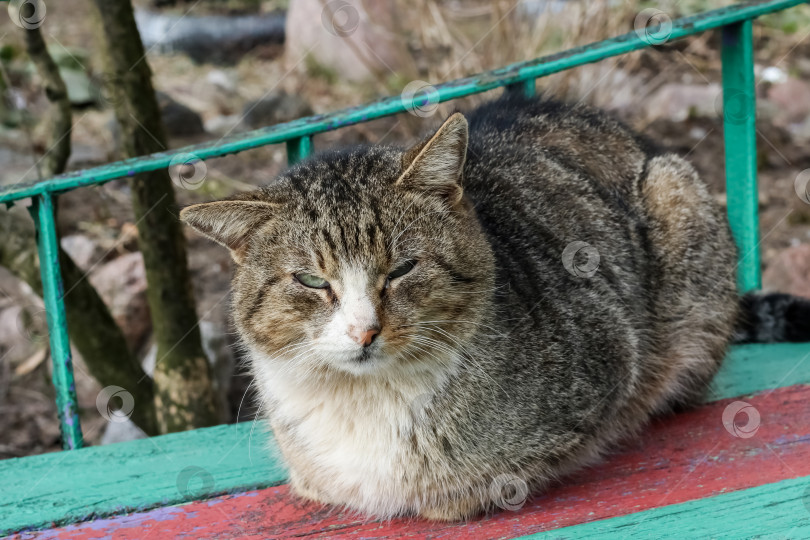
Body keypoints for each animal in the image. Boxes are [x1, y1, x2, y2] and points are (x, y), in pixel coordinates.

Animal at [181, 95, 800, 520]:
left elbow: (489, 482)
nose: (364, 332)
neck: (364, 399)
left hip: (676, 195)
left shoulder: (610, 367)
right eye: (311, 280)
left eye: (402, 269)